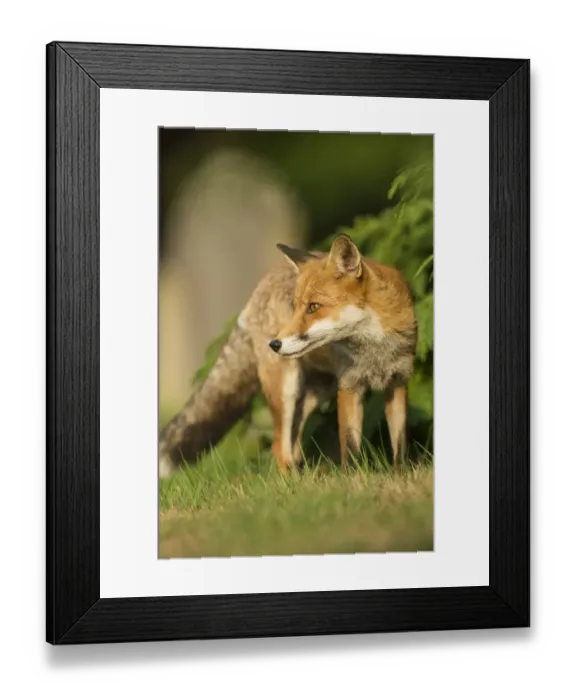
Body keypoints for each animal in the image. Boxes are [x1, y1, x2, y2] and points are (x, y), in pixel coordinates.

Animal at [159, 234, 418, 478]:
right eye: (296, 307)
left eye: (314, 307)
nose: (274, 344)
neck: (375, 347)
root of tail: (261, 285)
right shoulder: (349, 386)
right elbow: (350, 446)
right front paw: (353, 480)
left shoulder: (398, 382)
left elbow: (400, 443)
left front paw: (401, 476)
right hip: (286, 389)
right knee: (278, 446)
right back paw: (291, 482)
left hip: (316, 392)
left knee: (294, 439)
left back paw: (302, 478)